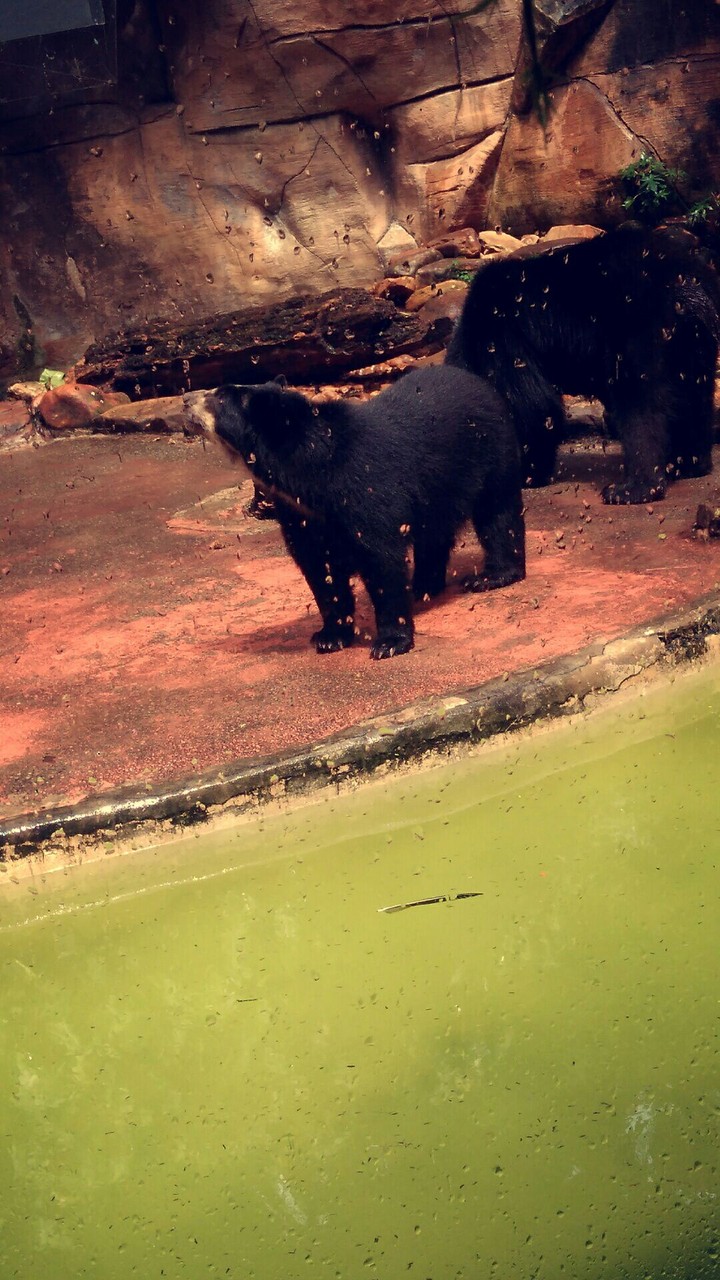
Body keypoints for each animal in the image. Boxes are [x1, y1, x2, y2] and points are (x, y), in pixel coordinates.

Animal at [184, 366, 525, 659]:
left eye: (219, 396)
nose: (186, 400)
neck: (308, 474)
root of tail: (475, 379)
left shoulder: (364, 489)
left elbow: (382, 559)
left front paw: (389, 642)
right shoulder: (301, 514)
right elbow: (320, 569)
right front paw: (329, 636)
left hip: (491, 453)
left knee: (498, 514)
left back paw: (490, 576)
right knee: (435, 534)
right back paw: (424, 586)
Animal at [445, 225, 720, 504]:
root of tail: (687, 282)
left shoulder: (501, 334)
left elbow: (533, 405)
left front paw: (528, 474)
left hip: (639, 326)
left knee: (639, 402)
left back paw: (632, 488)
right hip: (693, 339)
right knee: (694, 392)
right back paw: (689, 463)